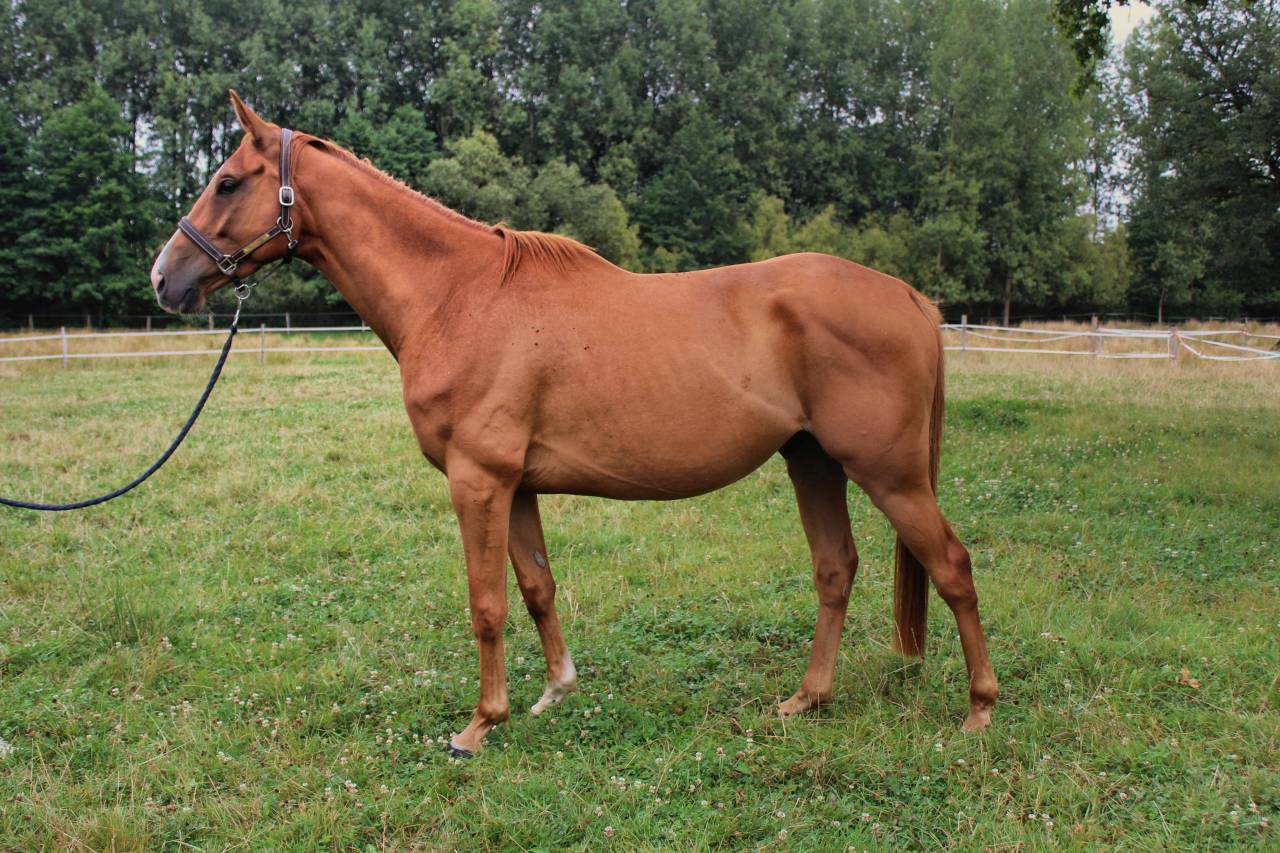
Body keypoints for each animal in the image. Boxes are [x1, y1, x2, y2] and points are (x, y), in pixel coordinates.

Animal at [149, 91, 998, 756]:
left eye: (228, 181)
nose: (164, 278)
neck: (457, 296)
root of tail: (909, 296)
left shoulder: (478, 480)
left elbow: (486, 603)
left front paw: (477, 726)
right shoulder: (516, 485)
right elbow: (536, 586)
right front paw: (554, 690)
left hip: (889, 473)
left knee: (953, 566)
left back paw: (979, 710)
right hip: (811, 459)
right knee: (835, 569)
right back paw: (807, 699)